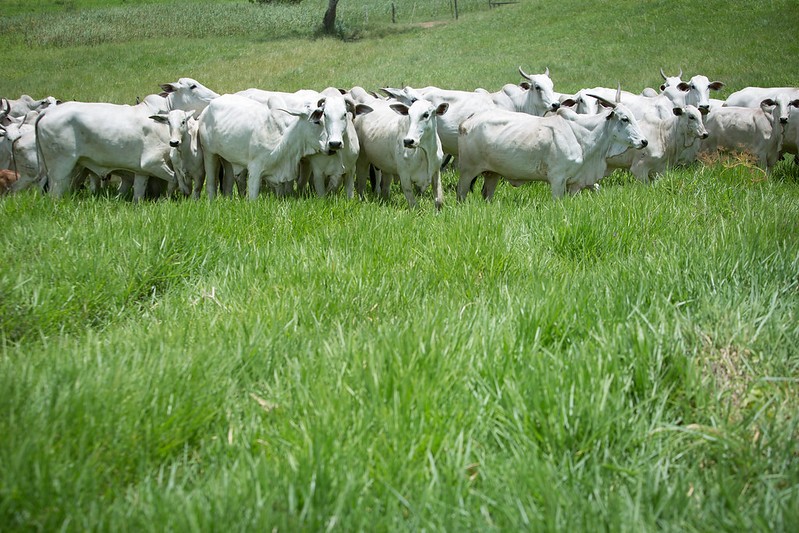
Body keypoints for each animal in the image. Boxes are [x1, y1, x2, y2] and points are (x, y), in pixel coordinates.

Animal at [197, 93, 328, 200]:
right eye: (316, 121)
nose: (330, 145)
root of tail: (207, 108)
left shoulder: (278, 179)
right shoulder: (255, 169)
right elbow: (253, 198)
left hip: (227, 158)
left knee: (228, 183)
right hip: (209, 152)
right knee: (211, 184)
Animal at [456, 92, 648, 198]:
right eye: (625, 119)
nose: (644, 141)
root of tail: (469, 120)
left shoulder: (575, 183)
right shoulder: (557, 179)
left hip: (492, 174)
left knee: (486, 194)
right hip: (467, 171)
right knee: (461, 193)